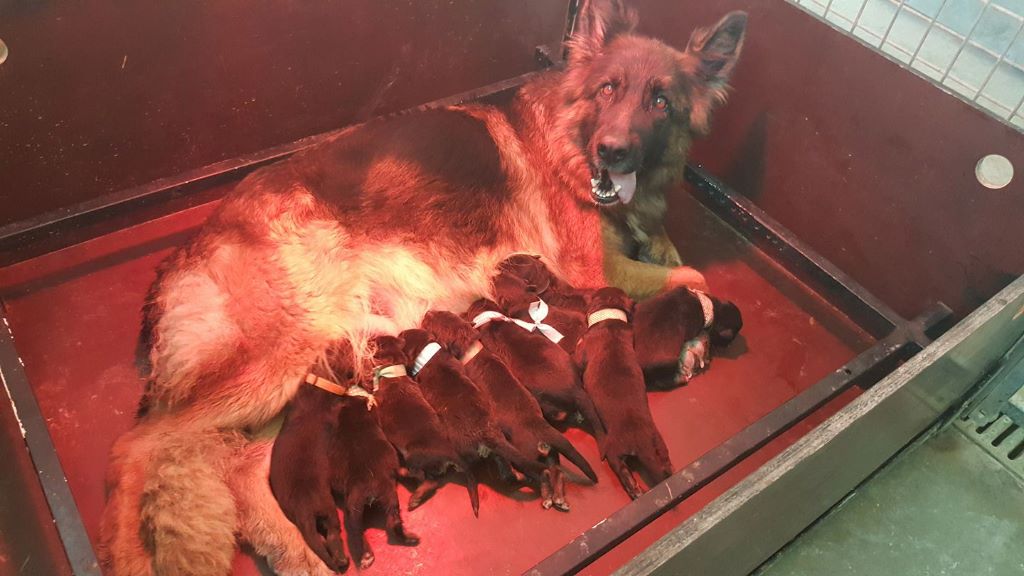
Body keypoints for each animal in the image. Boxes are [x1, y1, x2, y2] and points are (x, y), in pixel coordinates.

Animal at [270, 340, 354, 569]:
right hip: (328, 509)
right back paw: (342, 559)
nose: (345, 338)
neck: (320, 382)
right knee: (332, 533)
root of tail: (303, 511)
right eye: (346, 350)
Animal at [368, 334, 479, 512]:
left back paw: (405, 479)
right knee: (432, 480)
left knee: (423, 477)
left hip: (414, 455)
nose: (370, 337)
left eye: (375, 342)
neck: (391, 372)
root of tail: (451, 453)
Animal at [417, 311, 598, 508]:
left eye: (431, 325)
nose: (427, 313)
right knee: (556, 471)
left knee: (538, 473)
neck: (470, 347)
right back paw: (557, 497)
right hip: (550, 449)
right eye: (446, 313)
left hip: (524, 453)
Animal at [581, 286, 675, 498]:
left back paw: (634, 490)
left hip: (614, 452)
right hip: (659, 443)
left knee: (623, 472)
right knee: (665, 463)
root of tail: (641, 444)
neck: (610, 316)